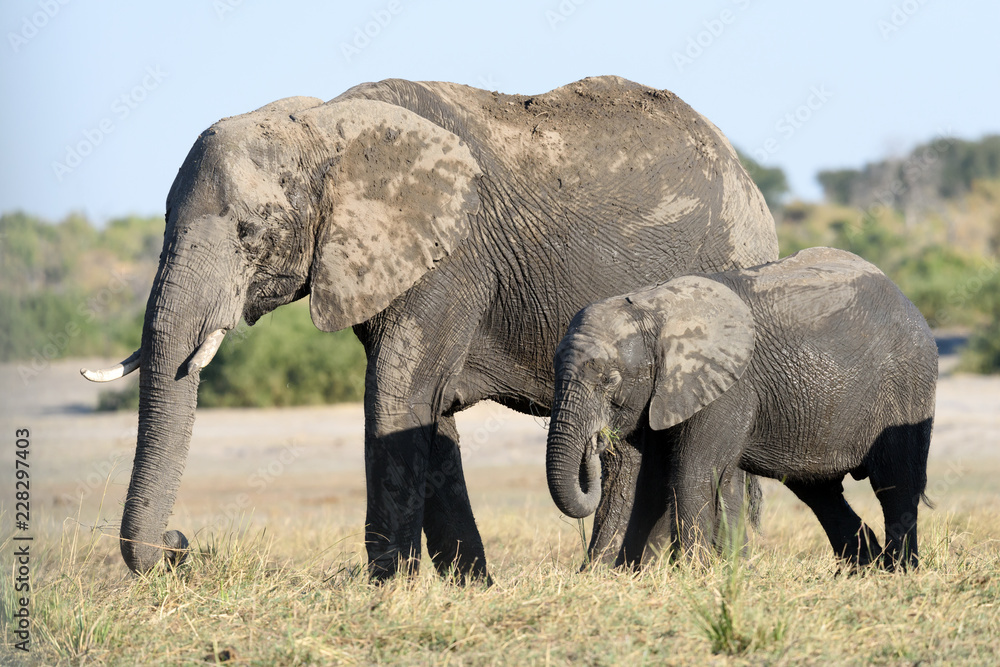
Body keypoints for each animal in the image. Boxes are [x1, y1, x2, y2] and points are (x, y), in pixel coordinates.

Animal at [81, 76, 778, 580]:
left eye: (250, 233)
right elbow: (430, 412)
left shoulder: (450, 260)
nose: (178, 545)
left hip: (731, 269)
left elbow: (398, 400)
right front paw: (471, 587)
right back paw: (618, 576)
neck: (328, 125)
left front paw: (389, 588)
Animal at [546, 247, 937, 570]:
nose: (595, 442)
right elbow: (655, 478)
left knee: (895, 483)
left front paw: (694, 574)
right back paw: (863, 567)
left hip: (908, 384)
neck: (652, 307)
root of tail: (909, 302)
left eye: (609, 380)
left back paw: (899, 570)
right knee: (819, 490)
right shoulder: (664, 393)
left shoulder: (728, 387)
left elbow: (693, 472)